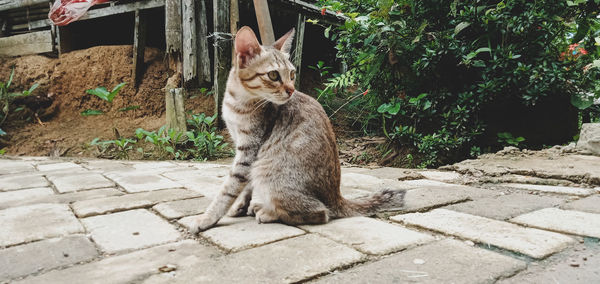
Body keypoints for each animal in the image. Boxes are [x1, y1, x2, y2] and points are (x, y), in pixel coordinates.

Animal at [190, 26, 406, 233]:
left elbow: (228, 190)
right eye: (274, 75)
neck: (238, 102)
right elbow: (245, 187)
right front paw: (240, 206)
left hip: (268, 173)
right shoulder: (243, 148)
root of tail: (336, 198)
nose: (291, 89)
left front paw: (206, 219)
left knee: (320, 213)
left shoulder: (249, 151)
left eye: (292, 74)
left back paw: (268, 212)